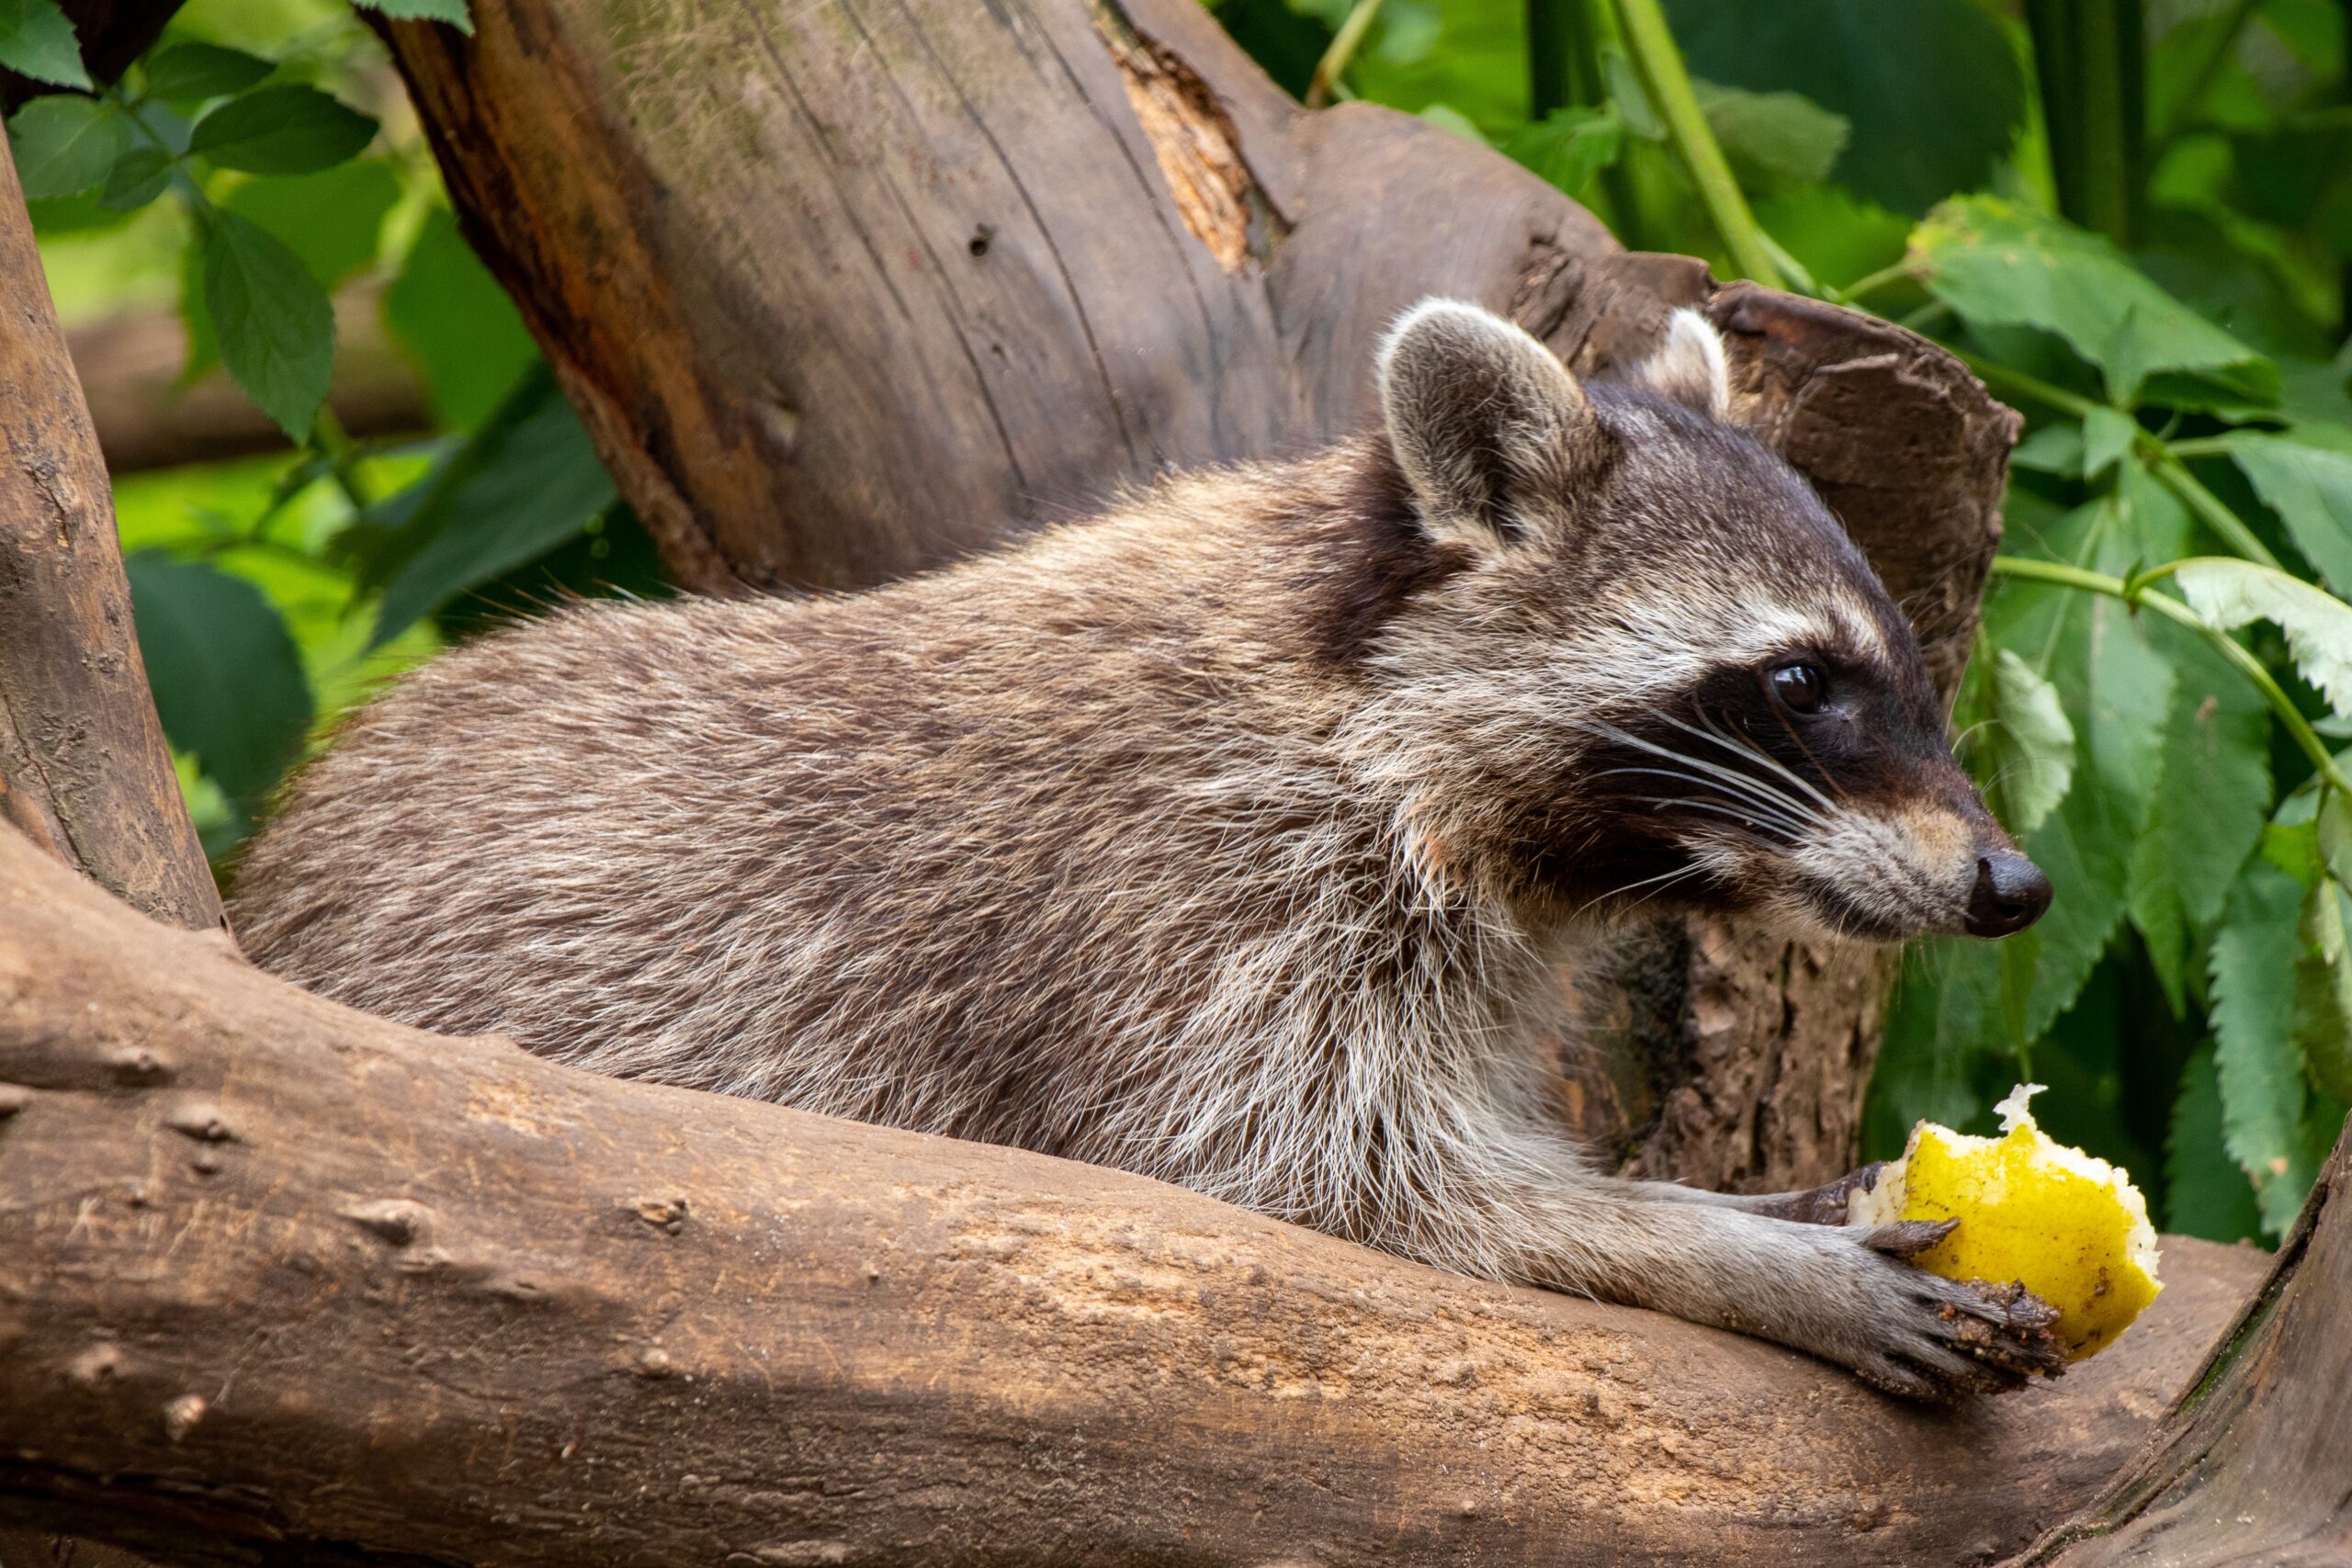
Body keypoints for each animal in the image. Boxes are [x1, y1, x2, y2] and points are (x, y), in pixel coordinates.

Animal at [231, 300, 2059, 1398]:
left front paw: (1758, 1193)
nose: (2014, 884)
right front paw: (1723, 1246)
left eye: (1906, 666)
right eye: (1803, 683)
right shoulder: (1182, 904)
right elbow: (1341, 1189)